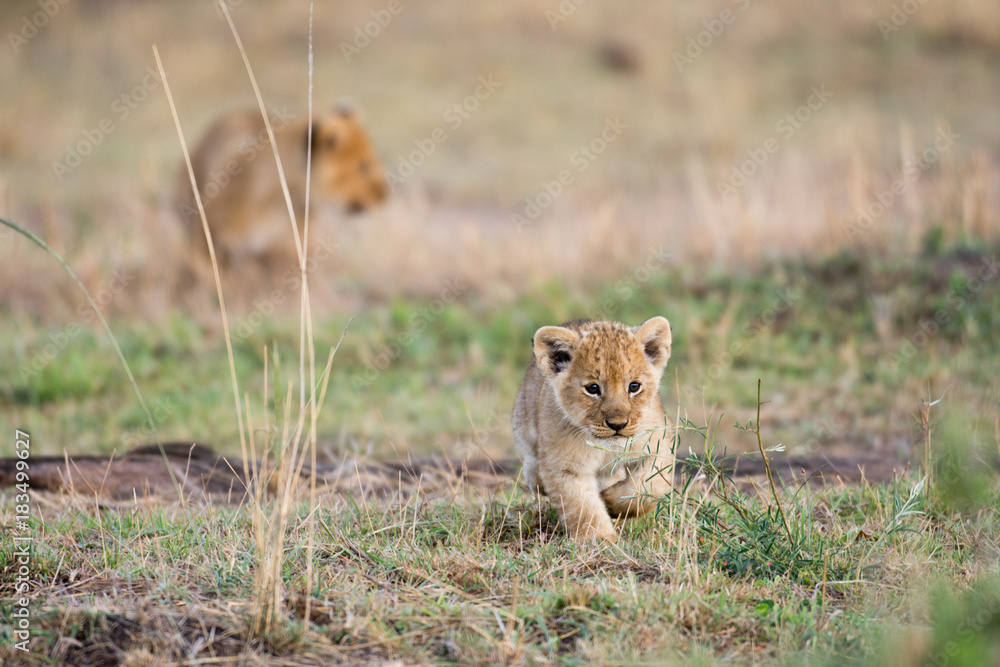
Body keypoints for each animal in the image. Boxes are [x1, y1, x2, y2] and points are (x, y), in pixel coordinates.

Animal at [511, 317, 675, 543]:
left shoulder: (659, 446)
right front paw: (599, 540)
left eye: (634, 386)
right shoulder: (565, 468)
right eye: (593, 388)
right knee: (534, 475)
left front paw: (611, 503)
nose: (617, 424)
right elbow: (582, 507)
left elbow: (650, 486)